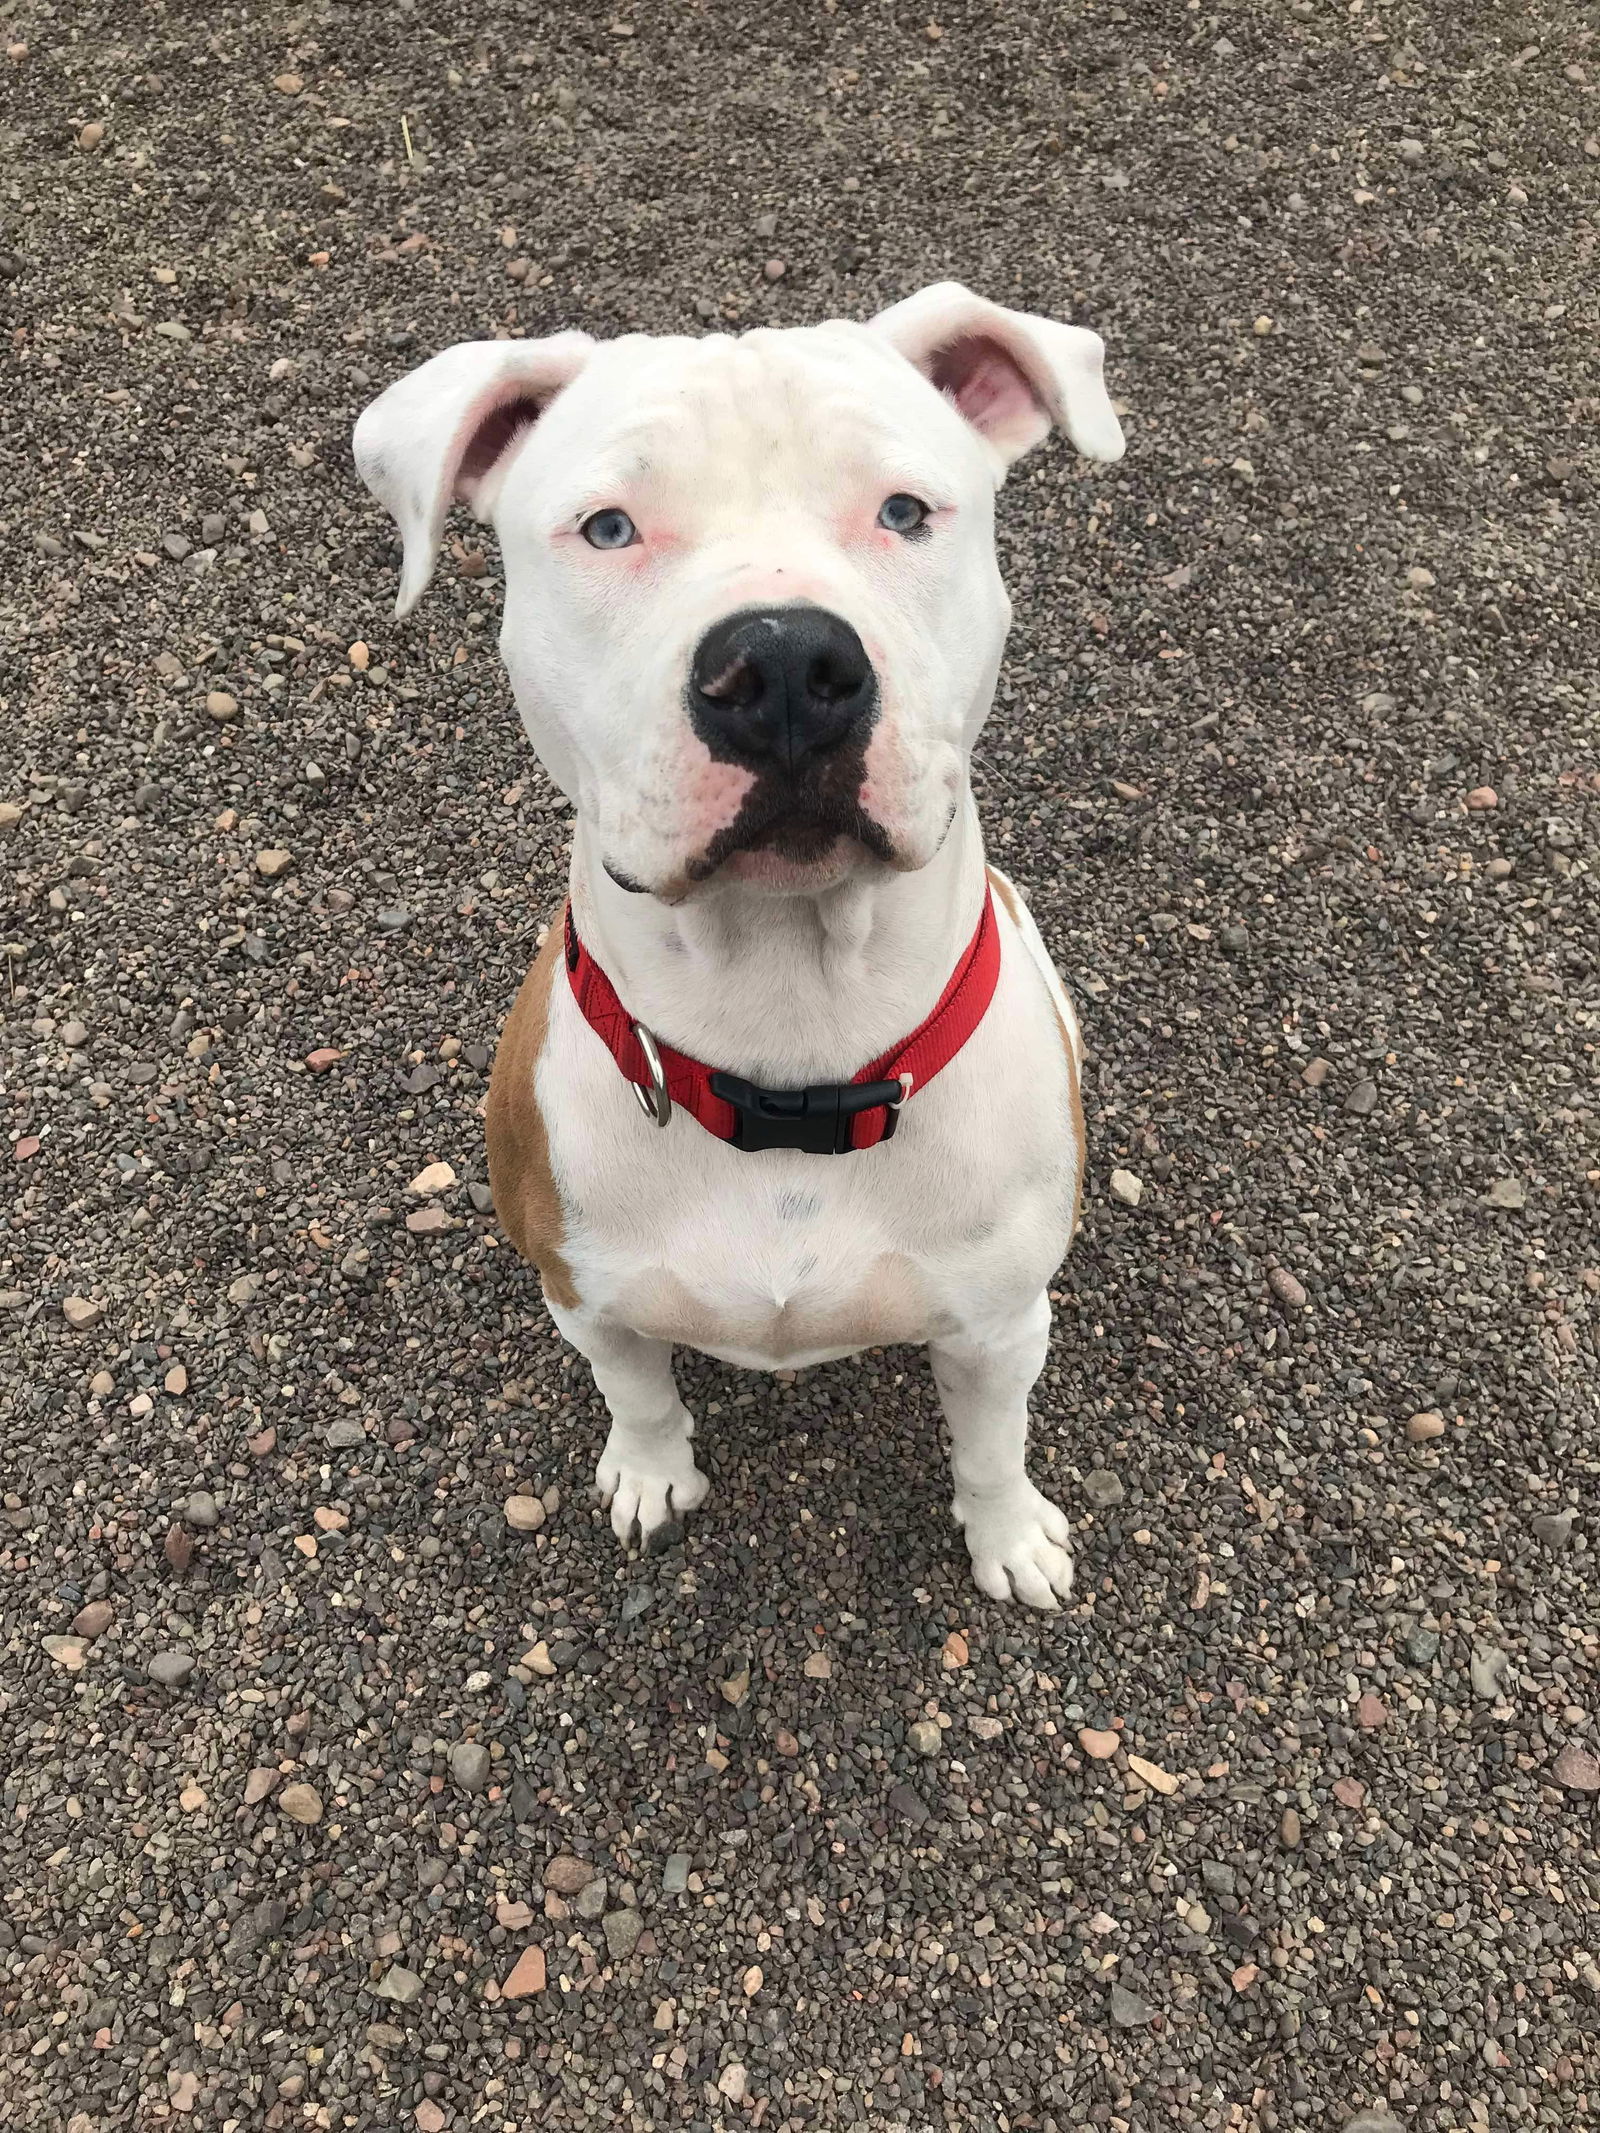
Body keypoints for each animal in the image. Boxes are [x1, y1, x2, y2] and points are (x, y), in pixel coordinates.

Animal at [349, 283, 1126, 1604]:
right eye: (608, 528)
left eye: (905, 510)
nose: (782, 665)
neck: (787, 1028)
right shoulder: (585, 1295)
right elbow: (636, 1390)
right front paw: (651, 1473)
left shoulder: (1001, 1325)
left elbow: (989, 1442)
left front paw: (1010, 1535)